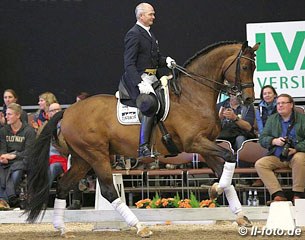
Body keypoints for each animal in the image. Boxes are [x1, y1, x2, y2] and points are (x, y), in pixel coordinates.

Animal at [26, 41, 258, 238]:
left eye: (254, 67)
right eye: (245, 66)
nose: (248, 99)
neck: (192, 96)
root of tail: (67, 112)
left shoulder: (204, 146)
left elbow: (224, 170)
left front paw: (240, 216)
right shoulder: (195, 142)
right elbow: (230, 157)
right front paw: (215, 190)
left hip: (83, 159)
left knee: (64, 185)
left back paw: (62, 229)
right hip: (96, 155)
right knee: (109, 190)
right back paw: (140, 227)